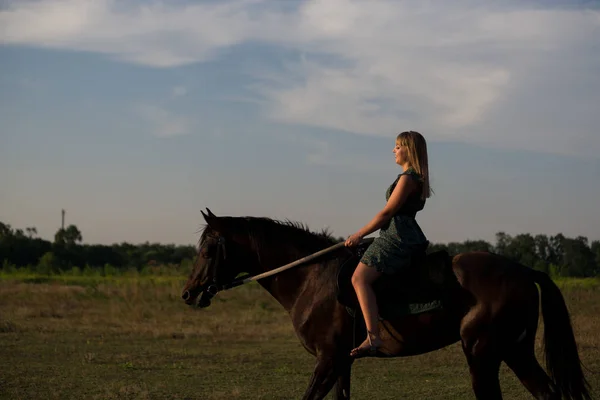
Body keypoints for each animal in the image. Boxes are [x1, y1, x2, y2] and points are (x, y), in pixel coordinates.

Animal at [179, 209, 592, 400]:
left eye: (208, 249)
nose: (188, 293)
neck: (311, 277)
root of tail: (523, 269)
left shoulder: (327, 360)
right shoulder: (341, 363)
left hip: (483, 353)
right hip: (515, 350)